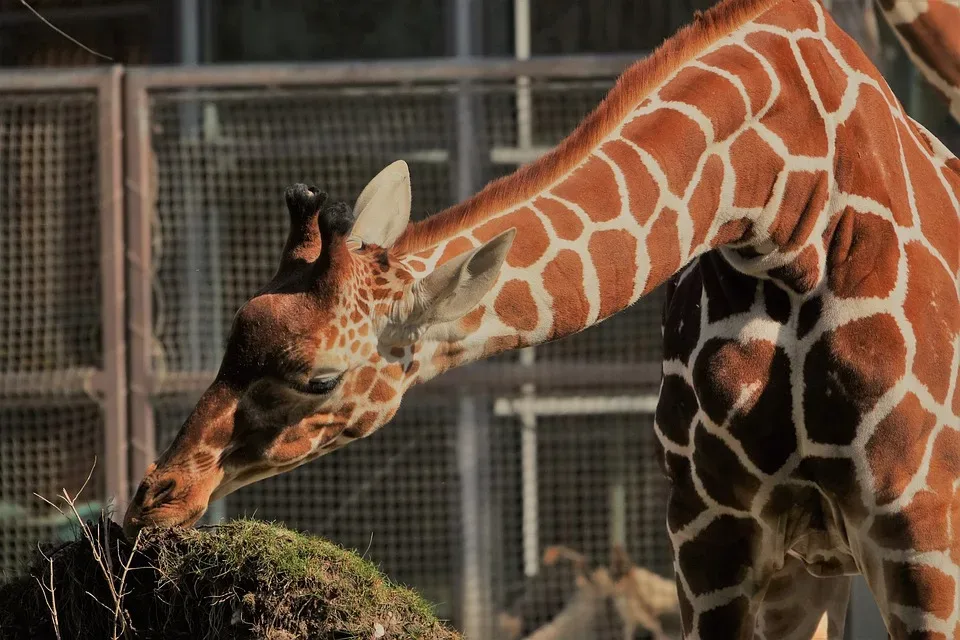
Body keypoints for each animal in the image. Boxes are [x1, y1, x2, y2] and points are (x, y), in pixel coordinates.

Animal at [122, 2, 960, 636]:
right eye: (232, 336)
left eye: (319, 378)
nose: (155, 495)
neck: (784, 217)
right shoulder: (711, 532)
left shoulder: (919, 528)